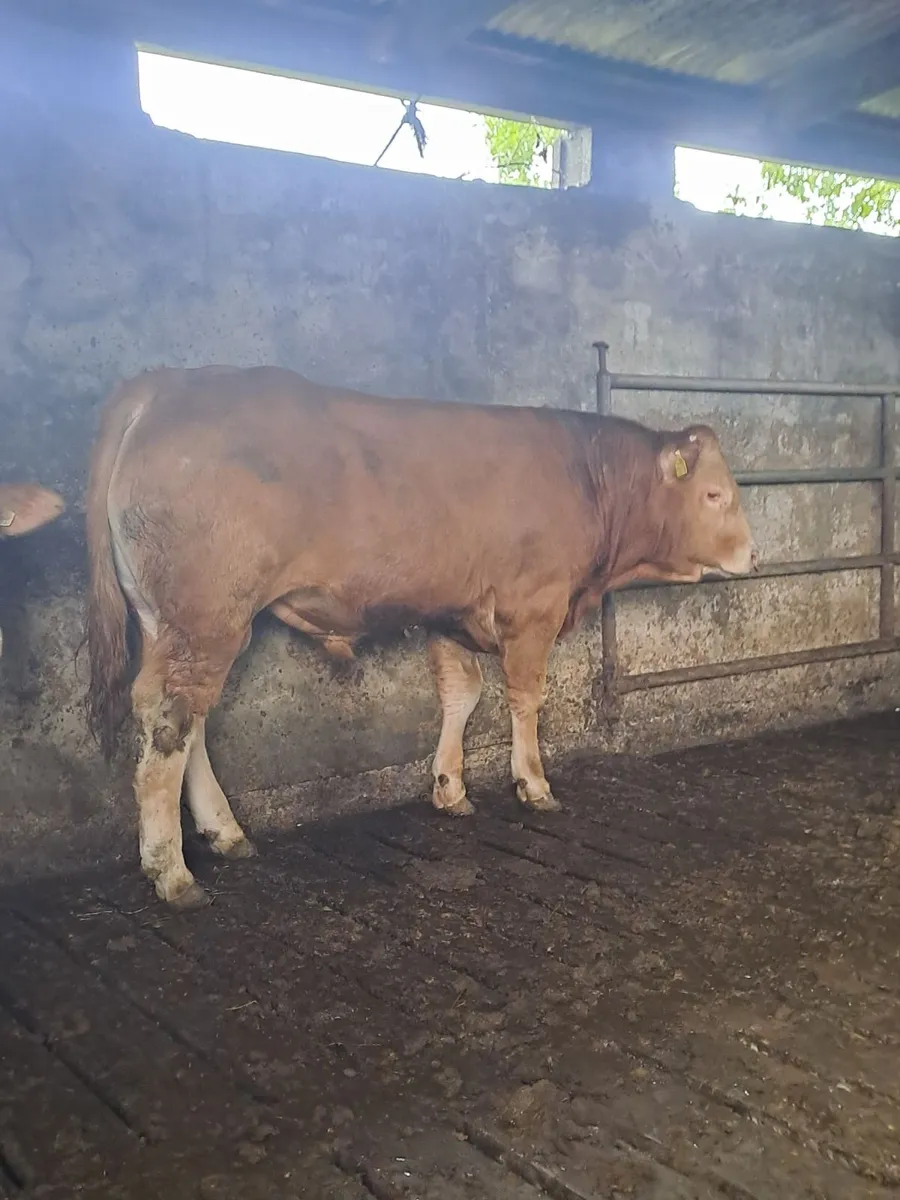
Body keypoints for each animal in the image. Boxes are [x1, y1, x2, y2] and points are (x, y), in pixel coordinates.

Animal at [85, 365, 757, 910]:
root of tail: (166, 383)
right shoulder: (534, 607)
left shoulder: (450, 614)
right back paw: (172, 871)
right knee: (171, 719)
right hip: (207, 616)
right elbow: (525, 698)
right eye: (715, 494)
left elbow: (461, 695)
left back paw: (225, 832)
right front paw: (533, 784)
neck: (588, 477)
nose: (753, 554)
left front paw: (450, 788)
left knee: (188, 720)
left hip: (174, 621)